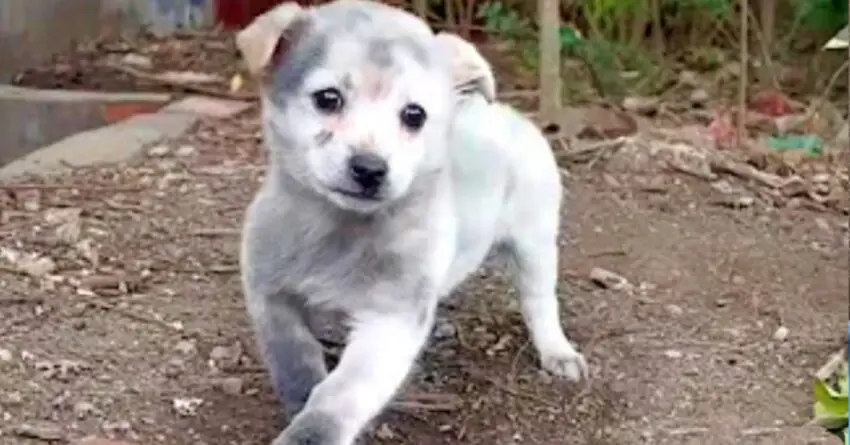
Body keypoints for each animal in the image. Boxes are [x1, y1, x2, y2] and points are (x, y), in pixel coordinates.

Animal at [235, 1, 588, 442]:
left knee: (539, 301)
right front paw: (300, 401)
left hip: (534, 242)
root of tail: (509, 114)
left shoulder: (390, 321)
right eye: (328, 98)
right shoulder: (270, 297)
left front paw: (311, 431)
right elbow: (295, 362)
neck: (341, 228)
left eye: (414, 115)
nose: (370, 169)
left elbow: (340, 395)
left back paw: (557, 350)